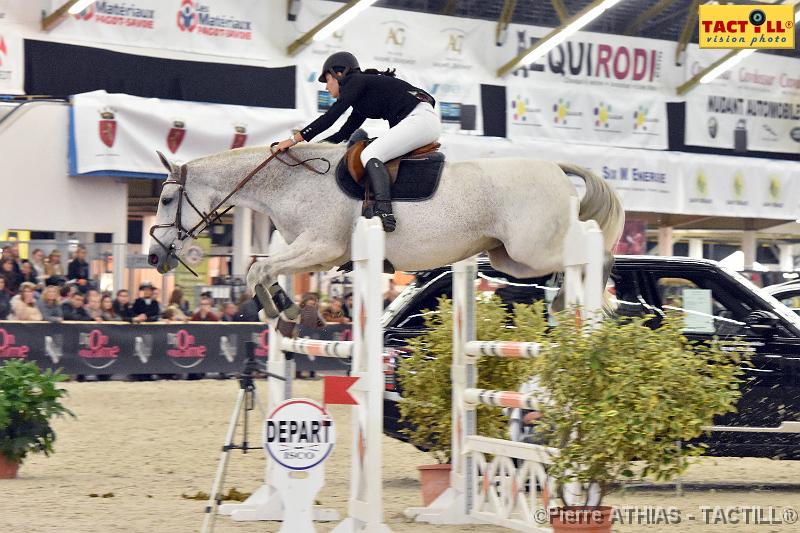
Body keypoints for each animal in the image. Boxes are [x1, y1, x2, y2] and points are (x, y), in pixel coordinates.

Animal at [148, 139, 624, 318]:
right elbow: (259, 269)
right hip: (510, 258)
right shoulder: (310, 251)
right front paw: (284, 308)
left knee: (596, 253)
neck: (293, 183)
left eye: (167, 200)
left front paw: (282, 313)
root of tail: (555, 168)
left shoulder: (321, 246)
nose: (154, 257)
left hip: (532, 248)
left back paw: (594, 301)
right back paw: (565, 301)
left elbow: (256, 270)